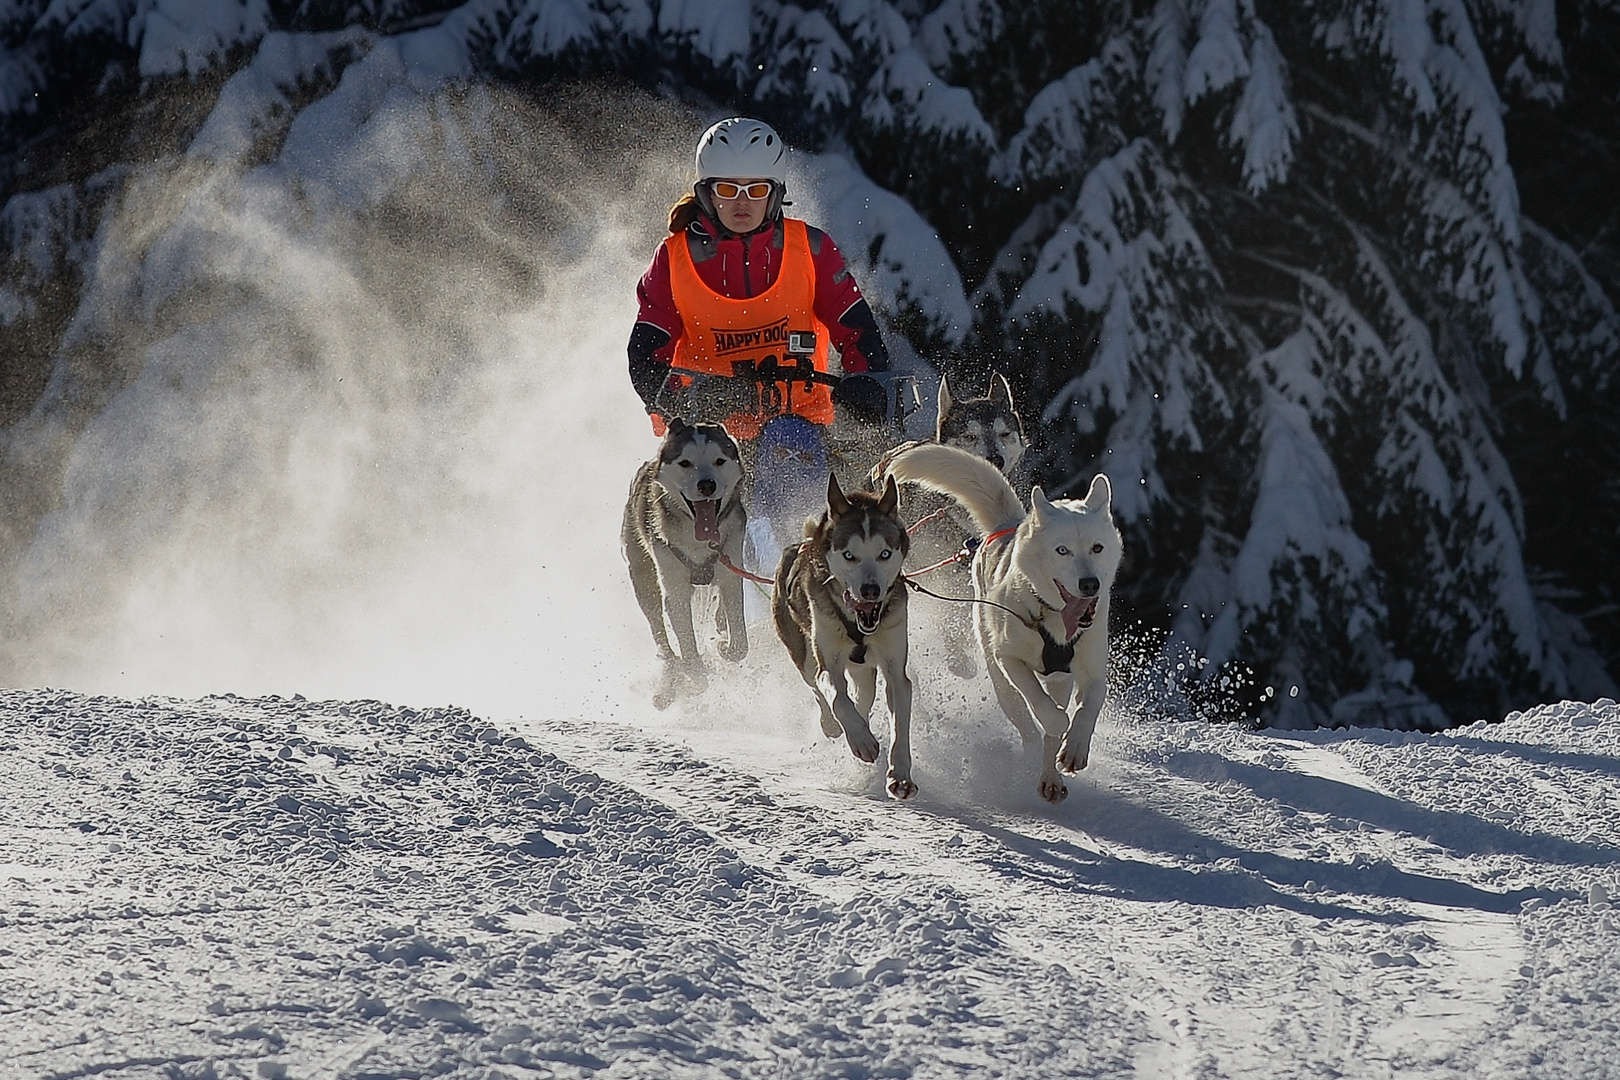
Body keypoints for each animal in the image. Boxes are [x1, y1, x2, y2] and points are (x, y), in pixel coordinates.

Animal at [622, 417, 748, 709]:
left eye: (719, 460)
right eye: (685, 463)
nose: (706, 485)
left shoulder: (730, 571)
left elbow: (739, 641)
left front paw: (725, 647)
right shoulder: (674, 589)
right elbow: (687, 648)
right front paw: (695, 674)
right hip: (644, 580)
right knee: (661, 637)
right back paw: (671, 676)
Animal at [774, 476, 920, 799]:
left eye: (884, 553)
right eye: (849, 555)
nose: (870, 591)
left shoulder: (894, 668)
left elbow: (900, 722)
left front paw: (900, 775)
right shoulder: (828, 661)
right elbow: (836, 696)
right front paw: (860, 741)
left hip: (864, 671)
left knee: (863, 696)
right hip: (803, 654)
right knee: (818, 689)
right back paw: (835, 726)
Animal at [881, 443, 1121, 806]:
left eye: (1097, 547)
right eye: (1062, 550)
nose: (1090, 584)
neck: (1052, 618)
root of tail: (1008, 525)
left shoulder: (1092, 669)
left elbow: (1089, 706)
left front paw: (1075, 748)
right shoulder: (1009, 658)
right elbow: (1041, 705)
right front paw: (1057, 722)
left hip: (1060, 681)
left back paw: (1051, 779)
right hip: (999, 678)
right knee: (1027, 724)